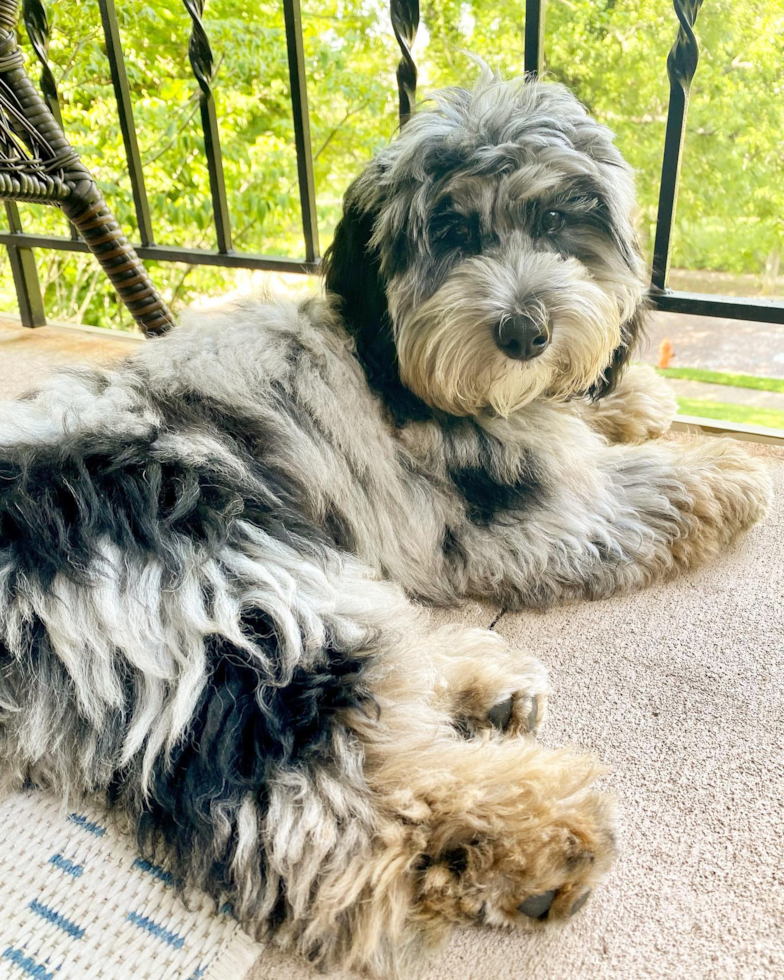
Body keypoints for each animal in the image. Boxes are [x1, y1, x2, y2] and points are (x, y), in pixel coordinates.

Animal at [0, 72, 772, 976]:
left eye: (557, 221)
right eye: (453, 232)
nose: (526, 331)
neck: (396, 358)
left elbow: (582, 415)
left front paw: (631, 399)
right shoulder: (521, 515)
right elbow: (638, 486)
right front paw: (726, 470)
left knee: (387, 656)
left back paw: (484, 684)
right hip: (222, 589)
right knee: (340, 796)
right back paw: (517, 840)